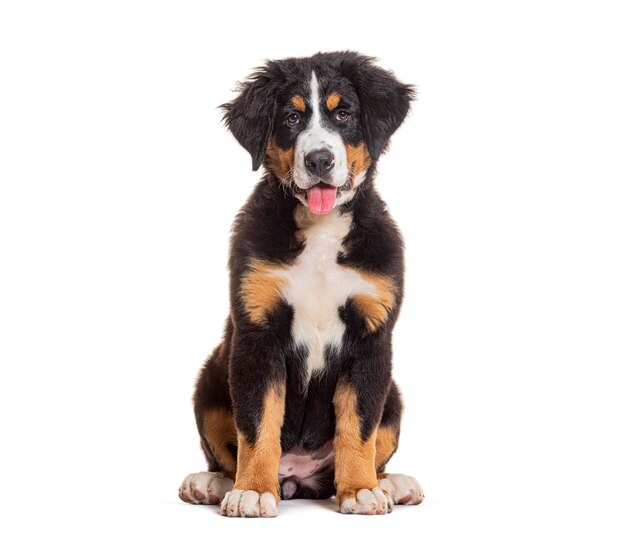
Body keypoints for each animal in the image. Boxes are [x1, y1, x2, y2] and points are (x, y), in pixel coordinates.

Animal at [180, 51, 424, 520]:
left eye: (343, 114)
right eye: (291, 118)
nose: (319, 161)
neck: (321, 230)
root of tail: (298, 477)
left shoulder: (371, 336)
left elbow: (359, 426)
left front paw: (360, 489)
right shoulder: (258, 333)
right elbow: (257, 423)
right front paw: (253, 490)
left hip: (395, 394)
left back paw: (390, 483)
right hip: (211, 381)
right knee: (224, 451)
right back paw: (213, 483)